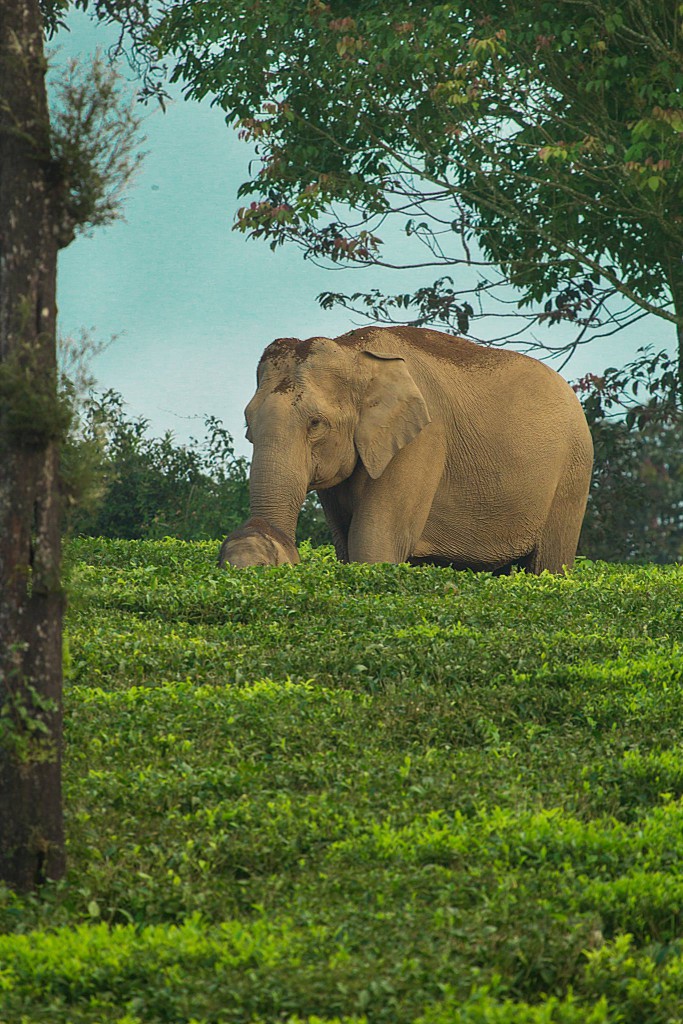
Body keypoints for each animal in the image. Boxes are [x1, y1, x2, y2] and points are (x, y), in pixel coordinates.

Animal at [244, 325, 593, 573]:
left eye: (316, 423)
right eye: (248, 423)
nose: (258, 543)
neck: (352, 351)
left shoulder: (421, 441)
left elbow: (375, 540)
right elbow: (346, 544)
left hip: (572, 474)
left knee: (548, 564)